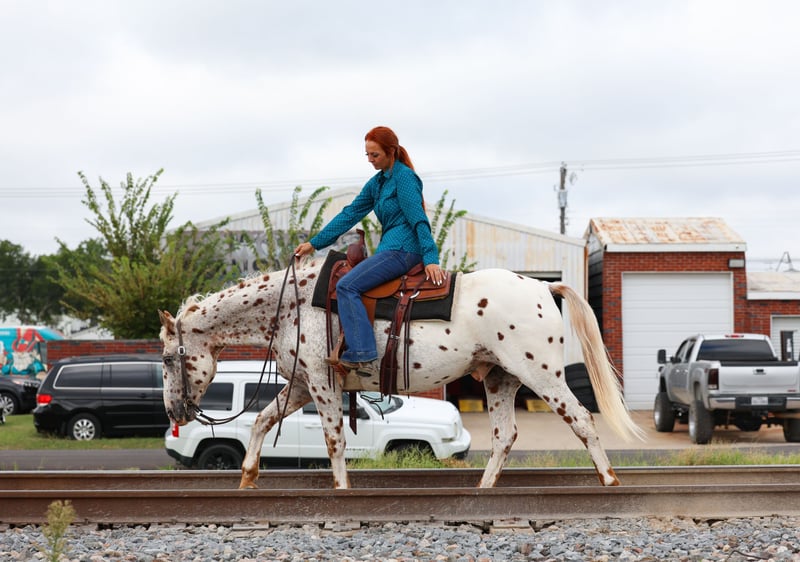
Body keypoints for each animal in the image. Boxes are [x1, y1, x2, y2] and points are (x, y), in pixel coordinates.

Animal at [159, 255, 644, 490]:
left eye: (165, 359)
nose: (175, 411)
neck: (292, 306)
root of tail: (543, 286)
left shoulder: (321, 384)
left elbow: (334, 440)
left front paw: (342, 491)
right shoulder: (299, 385)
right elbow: (260, 421)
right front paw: (247, 479)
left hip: (541, 375)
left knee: (581, 421)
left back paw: (610, 481)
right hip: (498, 379)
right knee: (505, 437)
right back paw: (483, 489)